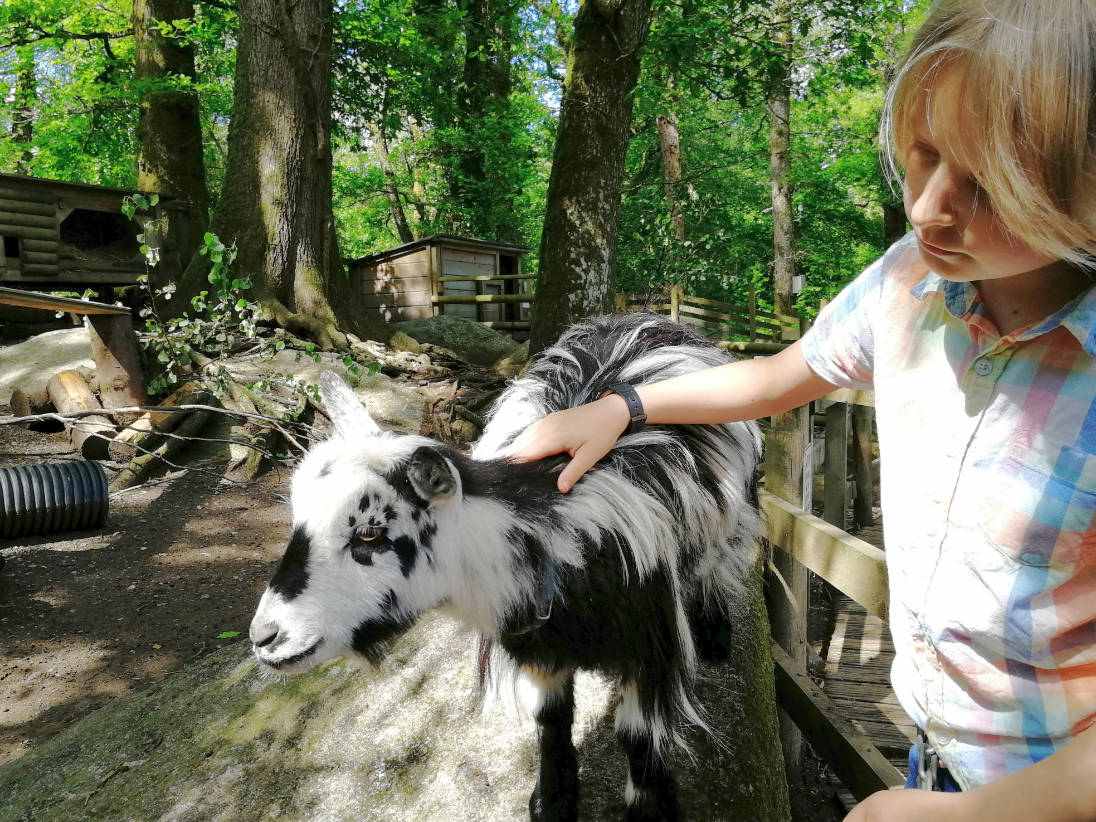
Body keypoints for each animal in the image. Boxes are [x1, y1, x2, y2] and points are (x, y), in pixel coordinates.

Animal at [248, 313, 762, 822]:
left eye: (370, 534)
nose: (264, 637)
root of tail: (647, 316)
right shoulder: (536, 647)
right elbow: (551, 718)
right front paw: (552, 802)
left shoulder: (650, 647)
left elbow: (637, 737)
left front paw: (650, 810)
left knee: (719, 562)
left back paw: (715, 633)